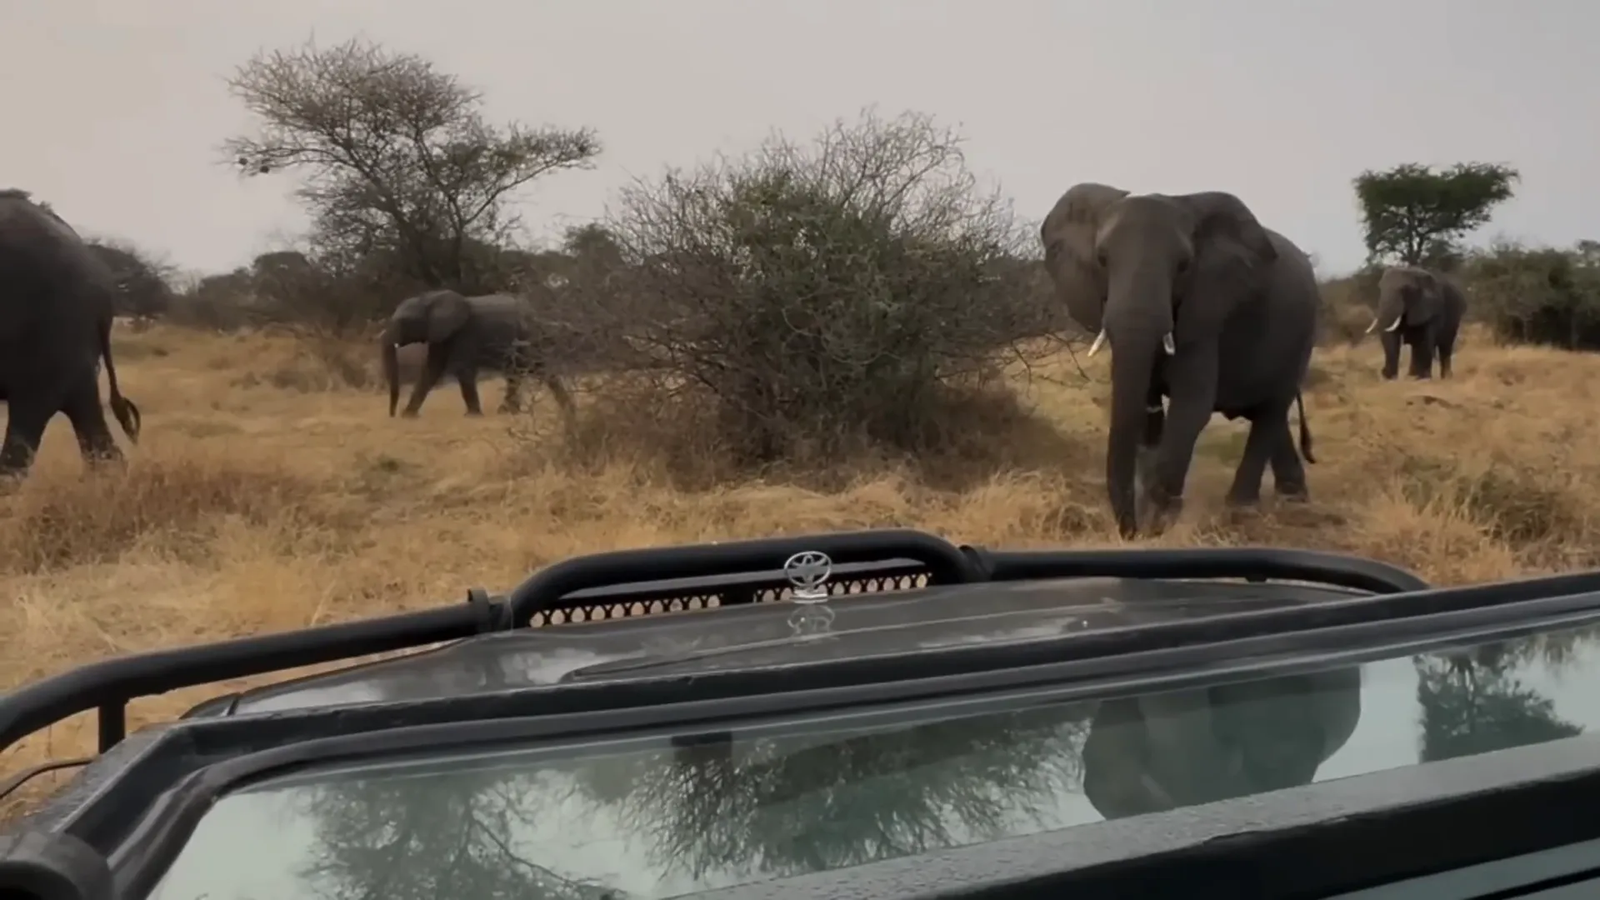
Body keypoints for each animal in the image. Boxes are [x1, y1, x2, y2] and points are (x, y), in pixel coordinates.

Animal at [1043, 180, 1318, 531]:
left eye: (1184, 265)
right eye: (1102, 260)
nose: (1129, 531)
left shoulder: (1205, 312)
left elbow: (1191, 406)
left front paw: (1160, 520)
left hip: (1302, 334)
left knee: (1272, 409)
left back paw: (1241, 511)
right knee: (1268, 413)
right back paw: (1293, 500)